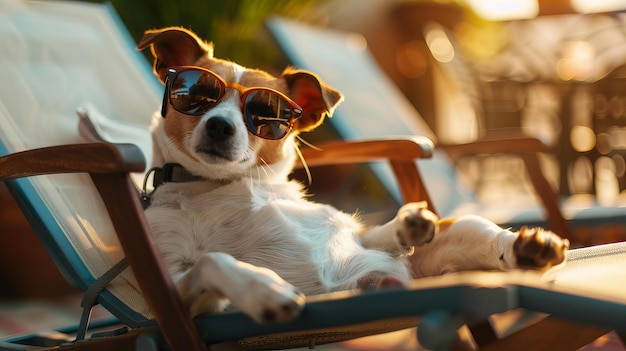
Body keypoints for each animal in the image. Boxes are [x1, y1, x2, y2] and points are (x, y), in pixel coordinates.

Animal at [136, 26, 572, 324]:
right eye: (196, 94)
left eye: (265, 114)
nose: (219, 126)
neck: (223, 185)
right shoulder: (178, 293)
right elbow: (213, 261)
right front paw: (262, 288)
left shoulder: (355, 233)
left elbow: (373, 232)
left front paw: (406, 226)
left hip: (463, 227)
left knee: (491, 239)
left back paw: (528, 247)